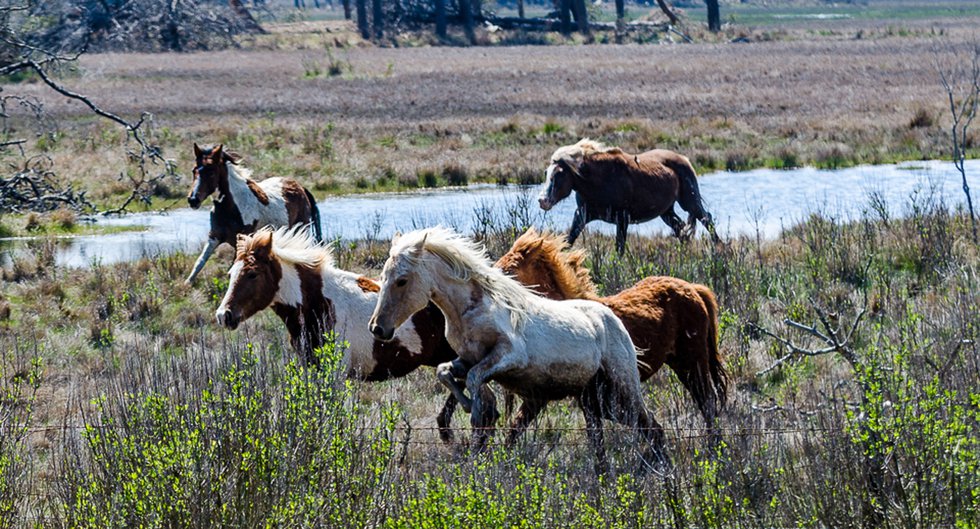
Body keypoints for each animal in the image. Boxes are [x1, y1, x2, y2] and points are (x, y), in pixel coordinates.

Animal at [185, 143, 323, 284]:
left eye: (211, 172)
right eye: (194, 170)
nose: (193, 200)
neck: (232, 207)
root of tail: (301, 188)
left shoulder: (243, 239)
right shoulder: (214, 236)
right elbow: (200, 262)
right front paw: (187, 283)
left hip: (301, 229)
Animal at [368, 226, 668, 474]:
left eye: (402, 280)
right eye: (384, 277)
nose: (377, 328)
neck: (471, 310)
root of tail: (612, 318)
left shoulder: (510, 354)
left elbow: (475, 379)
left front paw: (480, 414)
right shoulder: (467, 358)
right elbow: (446, 373)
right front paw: (476, 409)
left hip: (622, 387)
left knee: (651, 427)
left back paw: (658, 473)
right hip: (596, 399)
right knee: (609, 437)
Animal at [538, 138, 719, 254]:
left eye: (559, 175)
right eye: (546, 173)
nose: (542, 200)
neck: (599, 179)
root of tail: (684, 159)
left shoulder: (622, 218)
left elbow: (619, 248)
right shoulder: (582, 214)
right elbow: (569, 240)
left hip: (690, 202)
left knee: (707, 220)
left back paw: (719, 250)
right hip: (666, 211)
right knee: (681, 228)